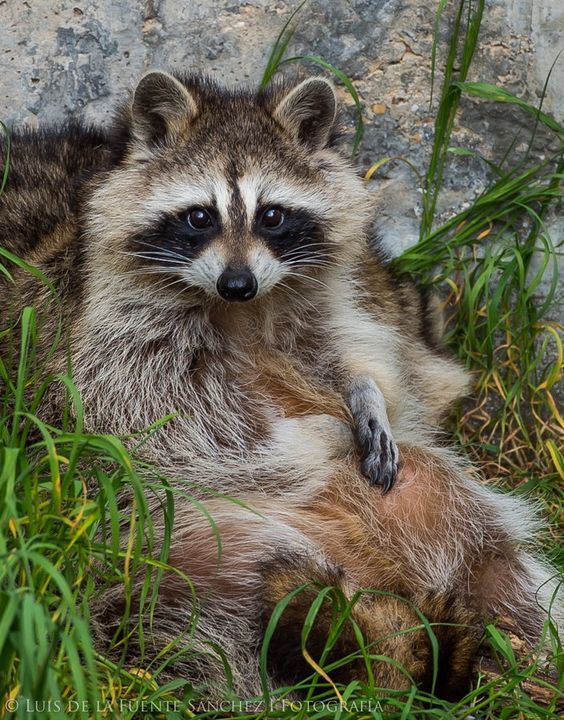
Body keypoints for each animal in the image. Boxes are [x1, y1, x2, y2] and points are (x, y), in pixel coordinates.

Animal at [0, 71, 560, 699]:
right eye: (199, 217)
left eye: (272, 215)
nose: (237, 282)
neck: (243, 312)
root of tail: (376, 577)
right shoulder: (99, 334)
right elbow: (155, 416)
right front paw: (308, 439)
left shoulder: (330, 307)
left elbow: (357, 357)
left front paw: (365, 394)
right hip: (157, 540)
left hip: (432, 506)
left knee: (493, 557)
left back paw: (520, 652)